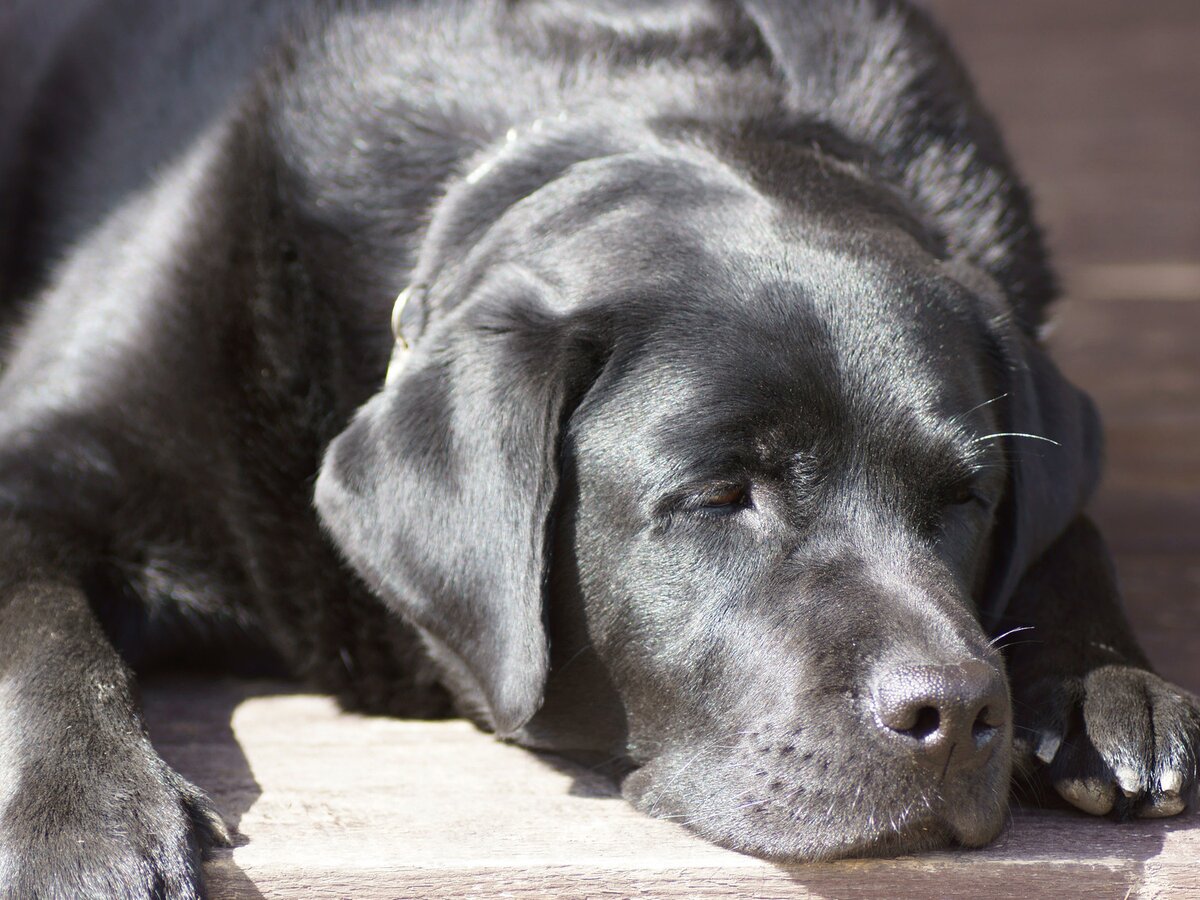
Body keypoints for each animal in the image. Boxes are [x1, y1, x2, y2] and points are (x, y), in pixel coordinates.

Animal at [2, 0, 1200, 897]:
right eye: (721, 494)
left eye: (966, 499)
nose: (953, 712)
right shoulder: (52, 450)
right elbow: (38, 619)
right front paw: (84, 823)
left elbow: (1073, 528)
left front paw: (1104, 685)